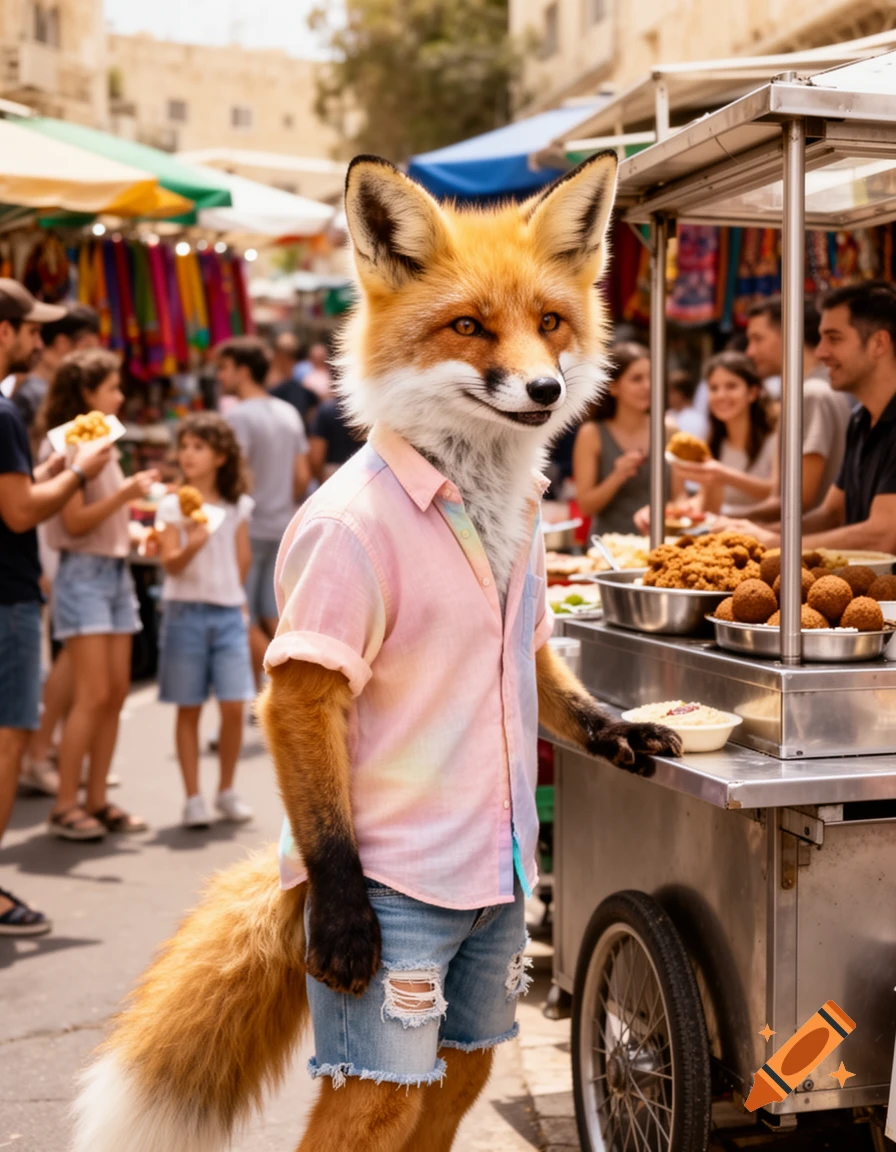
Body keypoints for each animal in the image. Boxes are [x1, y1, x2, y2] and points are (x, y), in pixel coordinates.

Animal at [71, 152, 681, 1152]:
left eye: (550, 323)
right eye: (469, 326)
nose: (546, 391)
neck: (467, 493)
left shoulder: (523, 626)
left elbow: (561, 689)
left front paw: (620, 730)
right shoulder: (315, 630)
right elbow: (305, 723)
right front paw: (348, 915)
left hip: (479, 991)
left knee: (452, 1076)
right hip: (404, 1003)